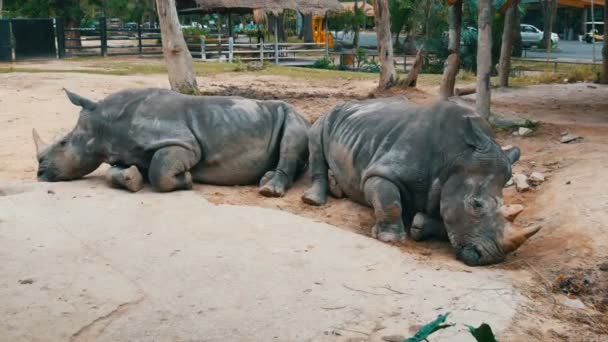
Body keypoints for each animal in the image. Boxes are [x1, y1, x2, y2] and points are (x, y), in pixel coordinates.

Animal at [32, 87, 308, 196]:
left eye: (63, 143)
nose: (40, 173)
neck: (105, 125)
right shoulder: (126, 152)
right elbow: (113, 172)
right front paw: (132, 179)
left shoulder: (185, 143)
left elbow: (159, 170)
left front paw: (186, 179)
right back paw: (265, 179)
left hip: (295, 116)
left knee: (291, 137)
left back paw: (269, 190)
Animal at [304, 97, 540, 266]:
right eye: (475, 204)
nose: (492, 257)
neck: (456, 156)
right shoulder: (381, 172)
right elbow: (390, 201)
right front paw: (390, 238)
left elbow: (446, 218)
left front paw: (419, 224)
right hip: (328, 116)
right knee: (315, 141)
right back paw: (312, 200)